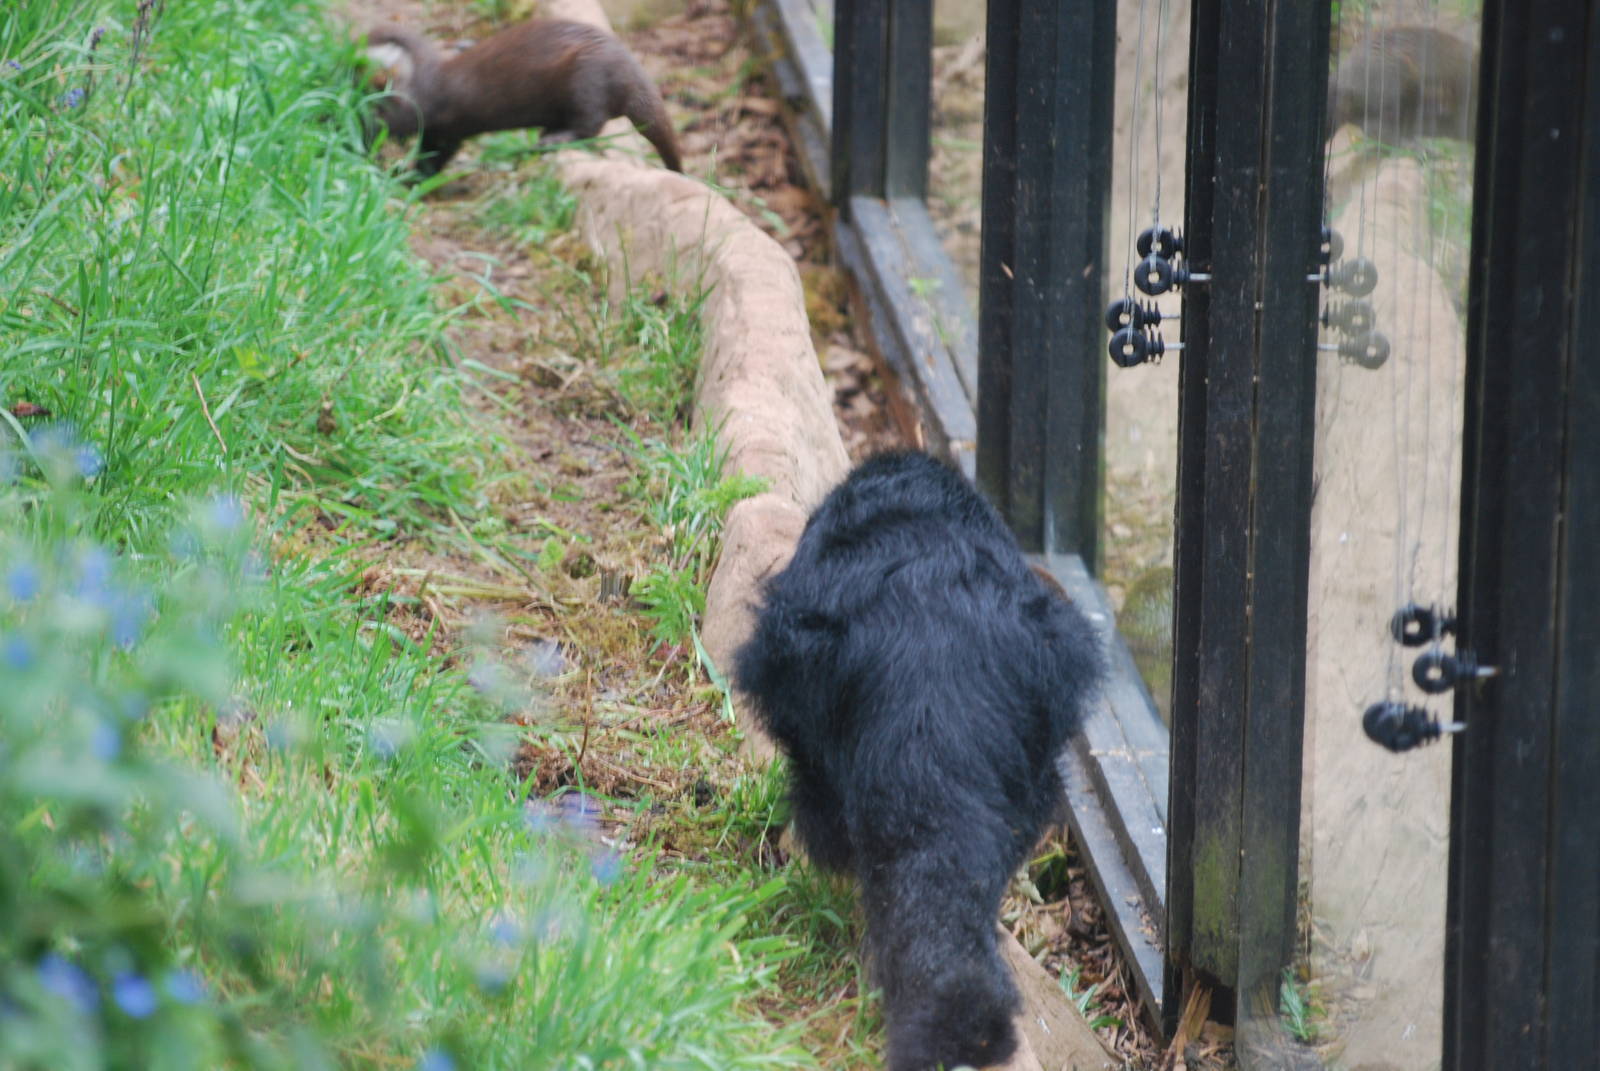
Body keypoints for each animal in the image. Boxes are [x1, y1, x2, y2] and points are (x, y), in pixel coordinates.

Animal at [362, 19, 682, 177]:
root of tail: (633, 70)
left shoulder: (432, 119)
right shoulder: (442, 131)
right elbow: (435, 156)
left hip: (587, 78)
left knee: (588, 124)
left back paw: (551, 139)